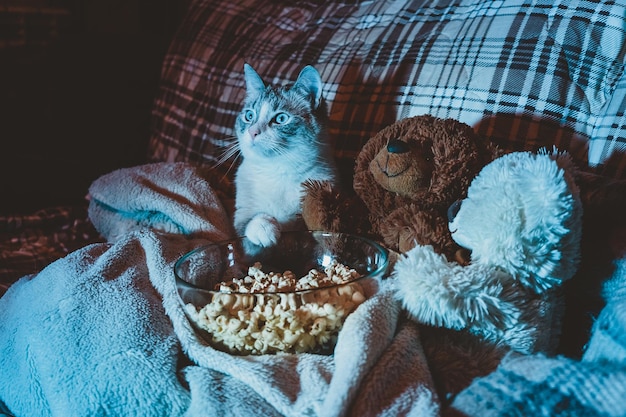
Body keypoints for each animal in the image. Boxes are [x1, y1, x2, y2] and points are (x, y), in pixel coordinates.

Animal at [230, 63, 336, 249]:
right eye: (249, 116)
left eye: (280, 119)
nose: (252, 132)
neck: (276, 171)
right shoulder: (242, 214)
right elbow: (249, 222)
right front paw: (265, 228)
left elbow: (303, 229)